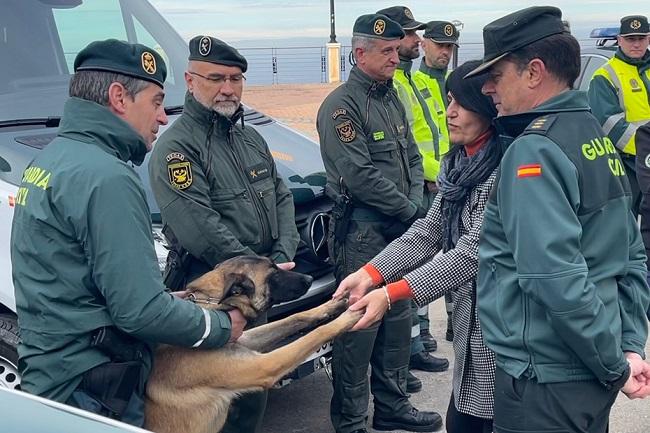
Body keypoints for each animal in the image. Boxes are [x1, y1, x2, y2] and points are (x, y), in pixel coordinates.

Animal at [142, 255, 362, 432]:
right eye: (273, 273)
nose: (309, 278)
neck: (212, 305)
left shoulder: (244, 339)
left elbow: (295, 317)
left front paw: (333, 305)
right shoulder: (265, 365)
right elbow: (315, 334)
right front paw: (350, 316)